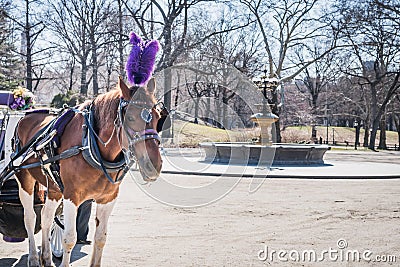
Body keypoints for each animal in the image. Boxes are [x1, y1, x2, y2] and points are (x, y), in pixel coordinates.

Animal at [14, 76, 163, 266]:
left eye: (158, 117)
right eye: (129, 117)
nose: (153, 165)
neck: (90, 144)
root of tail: (28, 115)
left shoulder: (108, 199)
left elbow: (101, 238)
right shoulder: (71, 196)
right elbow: (69, 238)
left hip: (54, 188)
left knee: (46, 217)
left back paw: (46, 257)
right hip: (24, 178)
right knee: (30, 218)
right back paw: (33, 257)